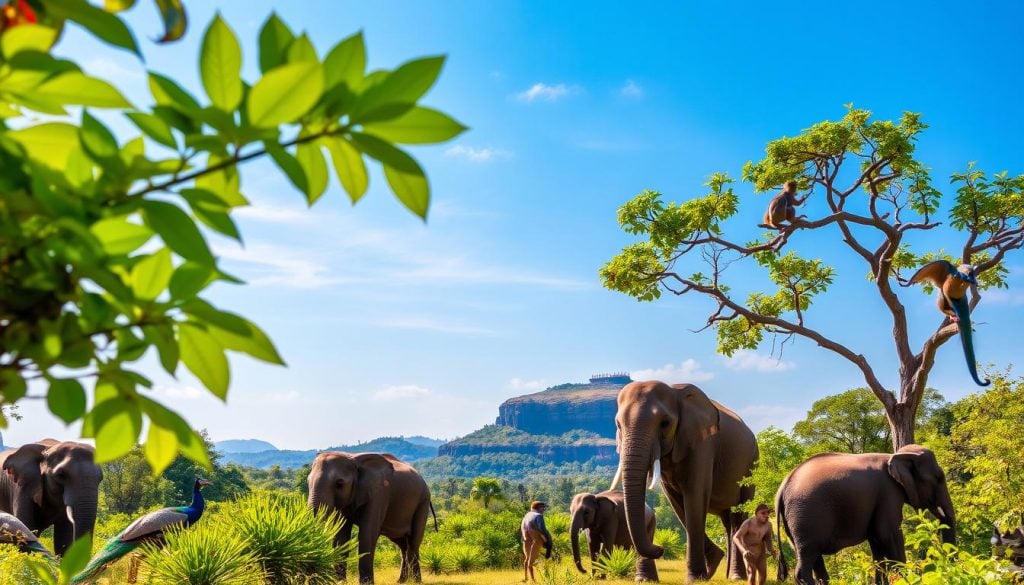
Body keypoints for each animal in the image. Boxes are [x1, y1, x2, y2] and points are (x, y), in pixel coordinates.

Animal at [303, 450, 432, 581]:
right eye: (307, 482)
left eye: (339, 484)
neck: (353, 458)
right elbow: (341, 536)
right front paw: (340, 582)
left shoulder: (379, 492)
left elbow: (367, 534)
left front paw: (365, 582)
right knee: (403, 544)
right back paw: (402, 581)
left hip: (423, 502)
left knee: (413, 541)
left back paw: (416, 581)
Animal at [606, 383, 761, 581]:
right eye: (618, 425)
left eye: (664, 423)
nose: (660, 548)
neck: (675, 392)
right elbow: (677, 503)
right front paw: (710, 566)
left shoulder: (702, 443)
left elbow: (695, 496)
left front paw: (697, 577)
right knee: (728, 520)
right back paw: (729, 575)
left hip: (752, 464)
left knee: (739, 514)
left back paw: (736, 577)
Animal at [774, 444, 958, 585]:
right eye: (938, 478)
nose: (950, 569)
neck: (894, 456)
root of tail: (782, 487)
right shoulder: (888, 493)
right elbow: (889, 536)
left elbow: (877, 545)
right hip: (805, 518)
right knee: (806, 561)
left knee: (815, 561)